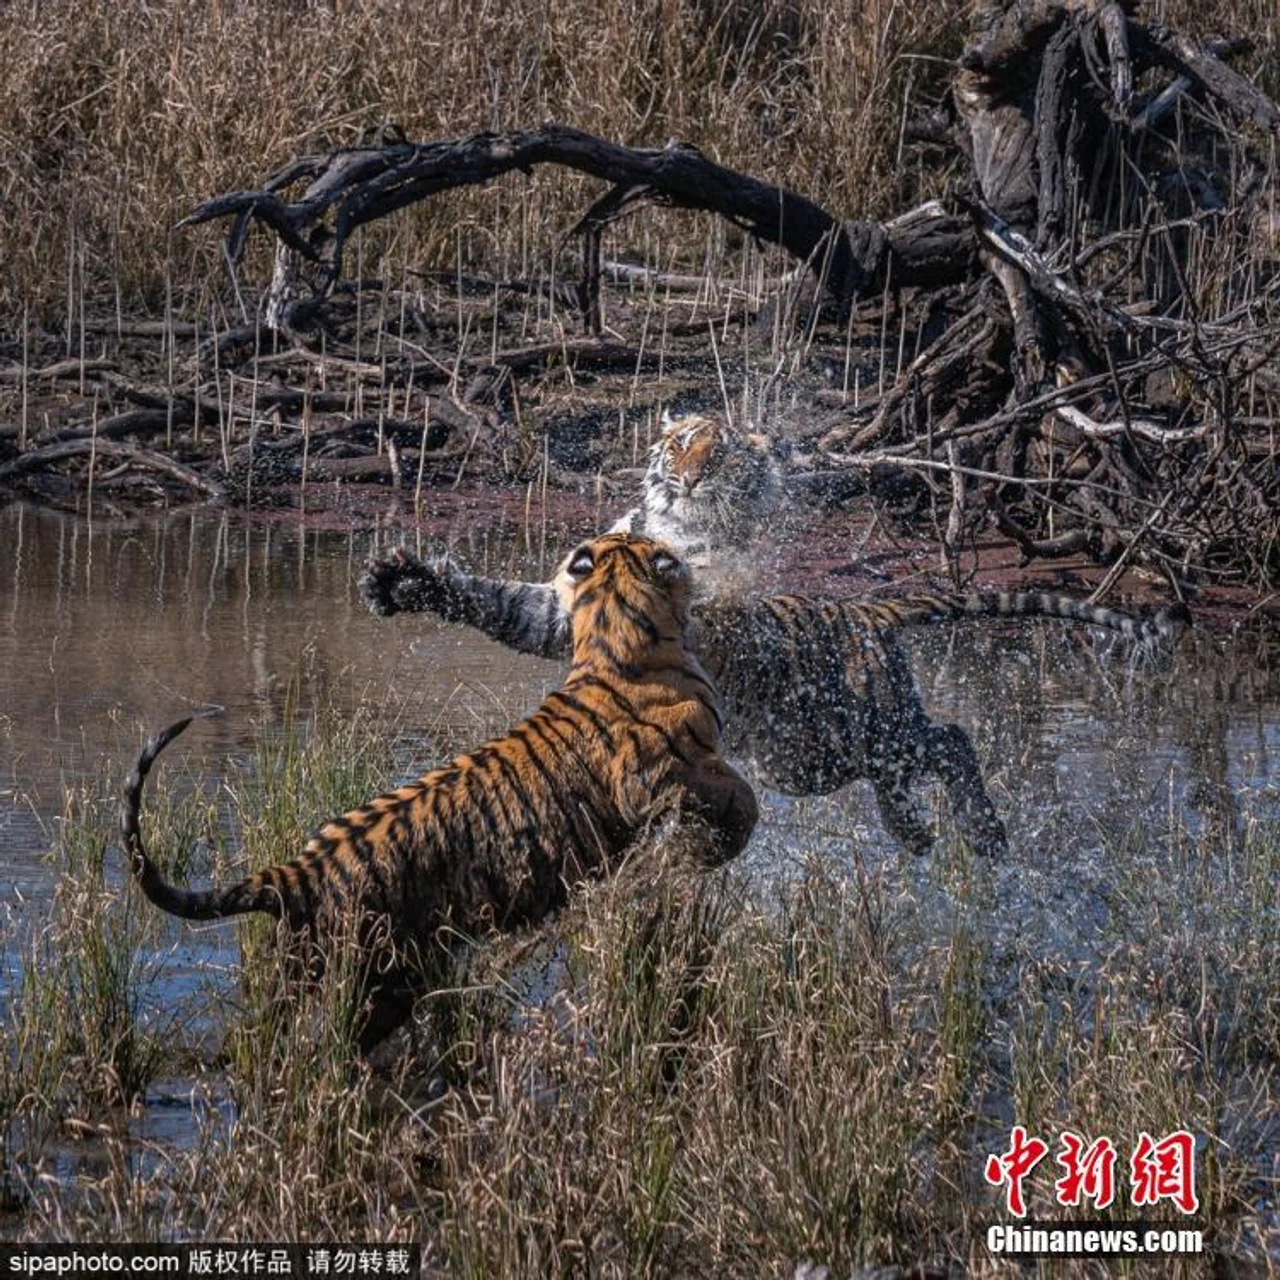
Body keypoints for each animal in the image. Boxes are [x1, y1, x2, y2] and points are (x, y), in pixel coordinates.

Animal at [122, 533, 758, 1052]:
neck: (612, 622)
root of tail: (297, 872)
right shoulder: (660, 777)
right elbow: (736, 796)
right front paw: (725, 836)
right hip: (383, 975)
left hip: (305, 970)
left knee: (264, 1033)